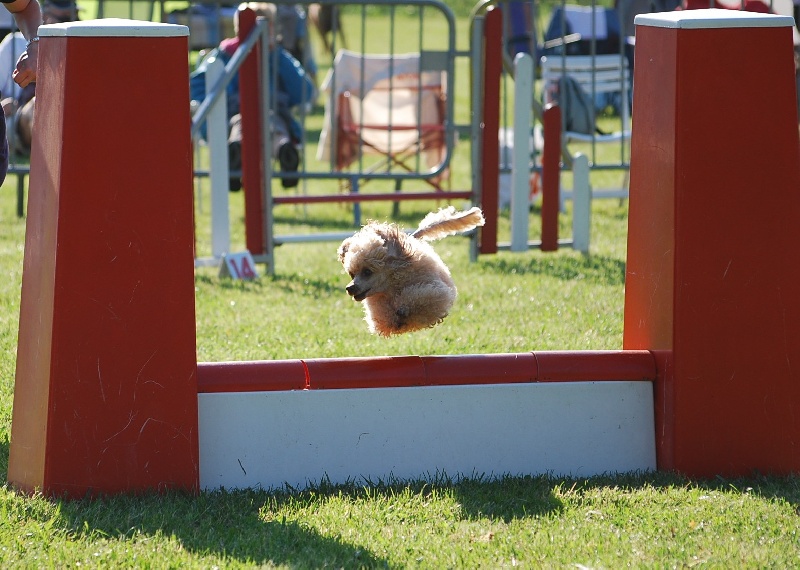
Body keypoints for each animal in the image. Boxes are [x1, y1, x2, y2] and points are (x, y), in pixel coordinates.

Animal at [336, 206, 484, 336]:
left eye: (367, 271)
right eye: (352, 274)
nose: (350, 288)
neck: (393, 286)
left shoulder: (436, 292)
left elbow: (418, 298)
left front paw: (404, 308)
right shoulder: (381, 314)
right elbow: (386, 321)